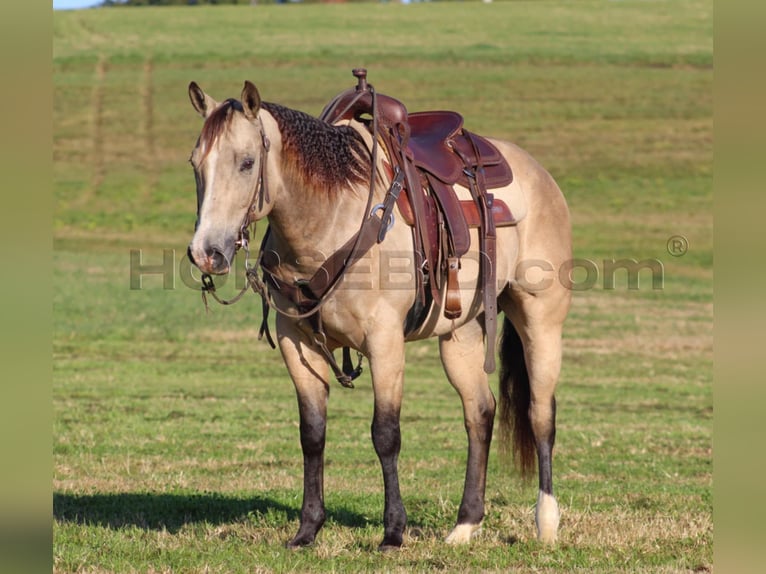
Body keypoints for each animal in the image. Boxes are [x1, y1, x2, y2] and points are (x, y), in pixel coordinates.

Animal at [184, 70, 568, 552]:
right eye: (195, 162)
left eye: (247, 162)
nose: (206, 253)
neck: (330, 218)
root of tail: (538, 174)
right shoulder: (297, 342)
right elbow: (312, 434)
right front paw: (308, 529)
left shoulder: (385, 341)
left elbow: (386, 434)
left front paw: (393, 532)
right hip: (460, 332)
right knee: (480, 412)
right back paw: (465, 525)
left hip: (540, 317)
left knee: (540, 414)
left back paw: (547, 522)